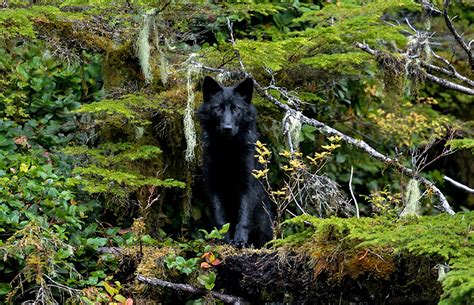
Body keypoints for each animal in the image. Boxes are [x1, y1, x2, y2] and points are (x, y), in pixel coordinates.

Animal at [198, 76, 272, 247]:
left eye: (236, 109)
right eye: (218, 108)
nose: (227, 128)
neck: (228, 152)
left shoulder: (247, 185)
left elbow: (243, 216)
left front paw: (239, 240)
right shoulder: (213, 185)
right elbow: (220, 218)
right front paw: (222, 239)